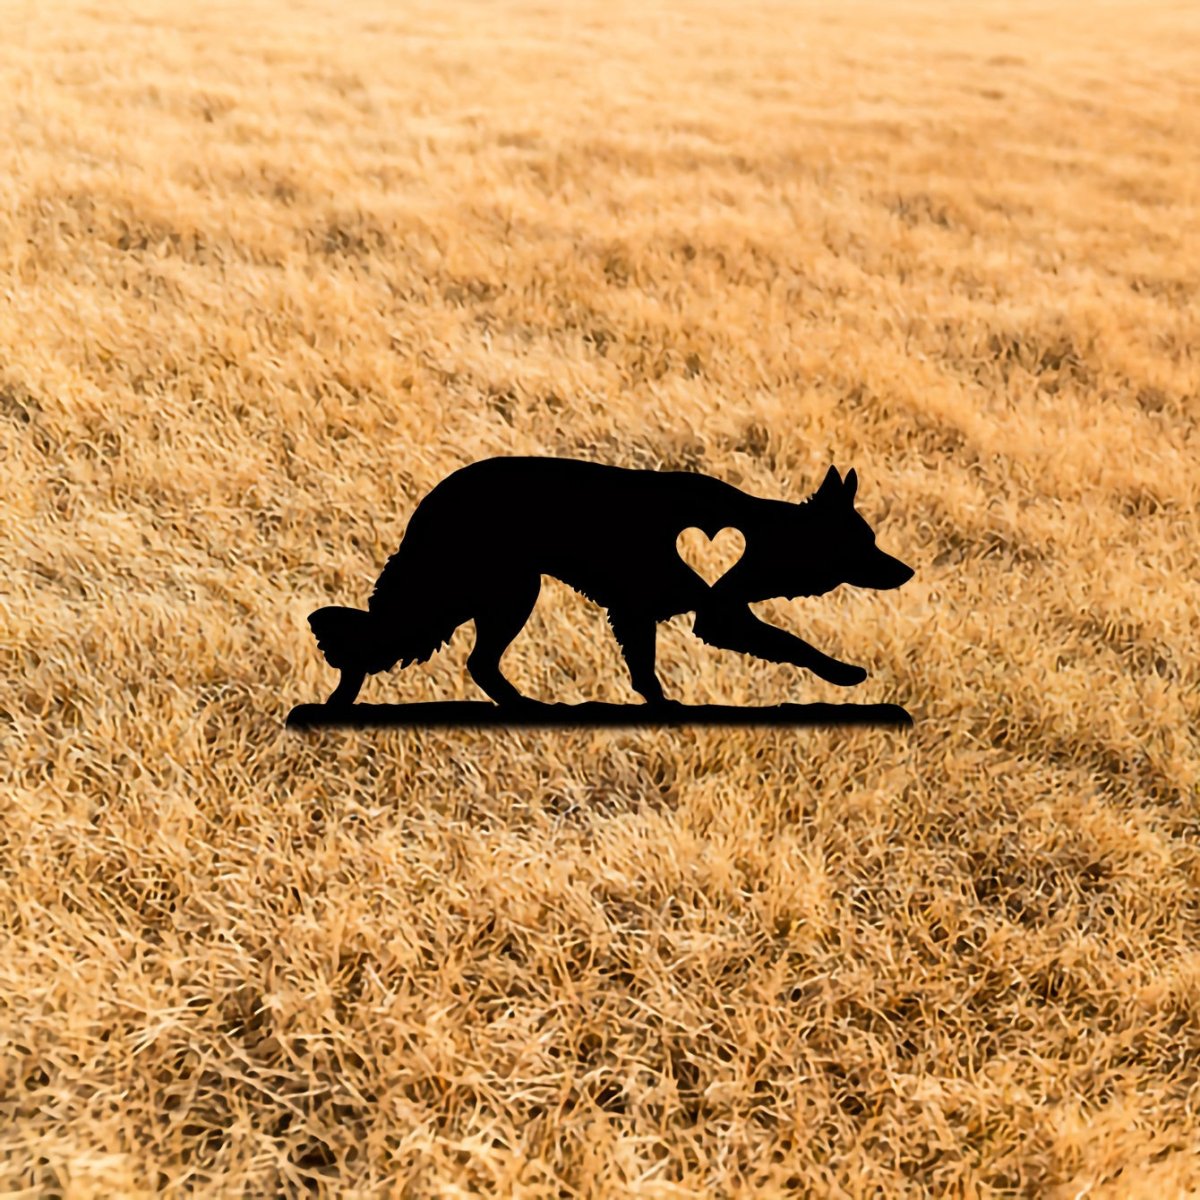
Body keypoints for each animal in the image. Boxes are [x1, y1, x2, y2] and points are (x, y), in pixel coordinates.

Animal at [307, 456, 913, 708]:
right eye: (864, 542)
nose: (908, 571)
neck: (763, 534)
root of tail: (433, 499)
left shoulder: (643, 614)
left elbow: (645, 671)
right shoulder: (711, 616)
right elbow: (791, 641)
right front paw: (843, 673)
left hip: (491, 592)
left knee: (463, 658)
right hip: (505, 591)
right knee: (455, 655)